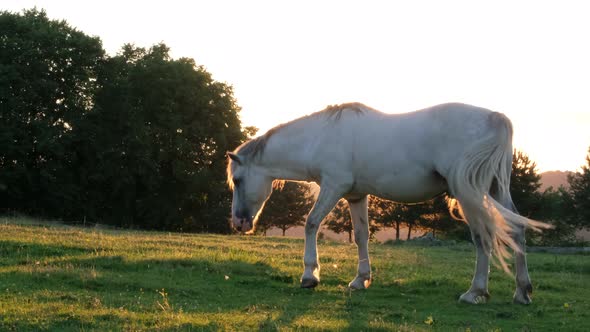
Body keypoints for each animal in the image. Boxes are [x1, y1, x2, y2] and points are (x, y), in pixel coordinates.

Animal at [229, 102, 552, 304]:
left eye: (238, 180)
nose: (239, 223)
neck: (321, 137)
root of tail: (496, 118)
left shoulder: (334, 186)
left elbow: (311, 223)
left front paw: (310, 275)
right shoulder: (355, 195)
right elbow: (361, 235)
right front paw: (361, 280)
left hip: (469, 194)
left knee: (482, 237)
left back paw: (475, 292)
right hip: (497, 190)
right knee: (516, 229)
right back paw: (522, 292)